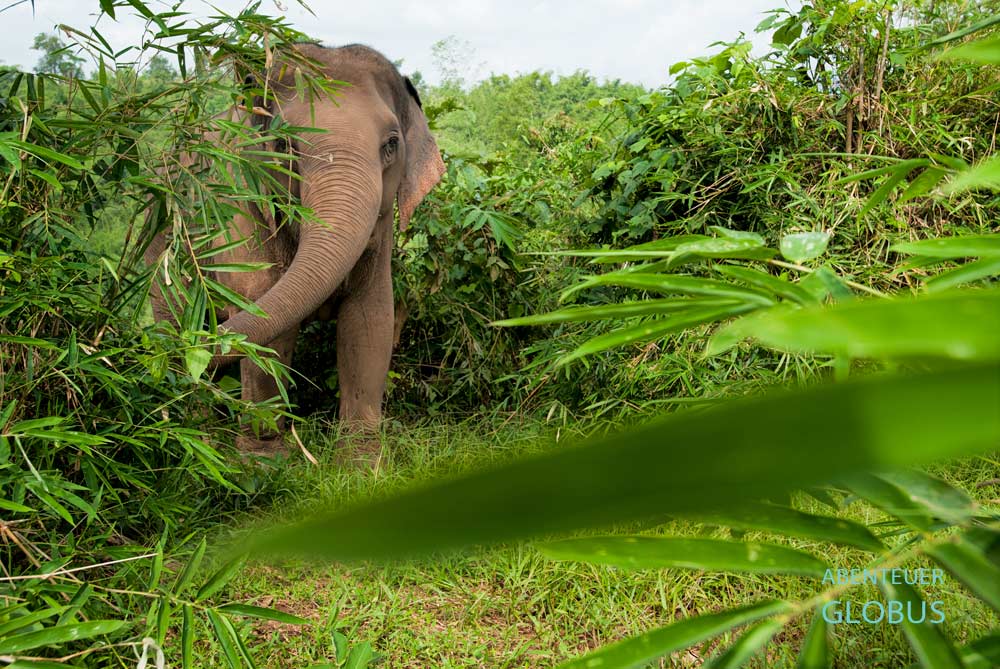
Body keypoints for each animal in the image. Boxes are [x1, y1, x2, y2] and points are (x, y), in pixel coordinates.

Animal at [144, 43, 445, 458]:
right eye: (285, 144)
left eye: (391, 144)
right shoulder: (240, 199)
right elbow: (260, 306)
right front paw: (262, 461)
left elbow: (369, 319)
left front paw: (361, 462)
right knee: (172, 313)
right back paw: (195, 435)